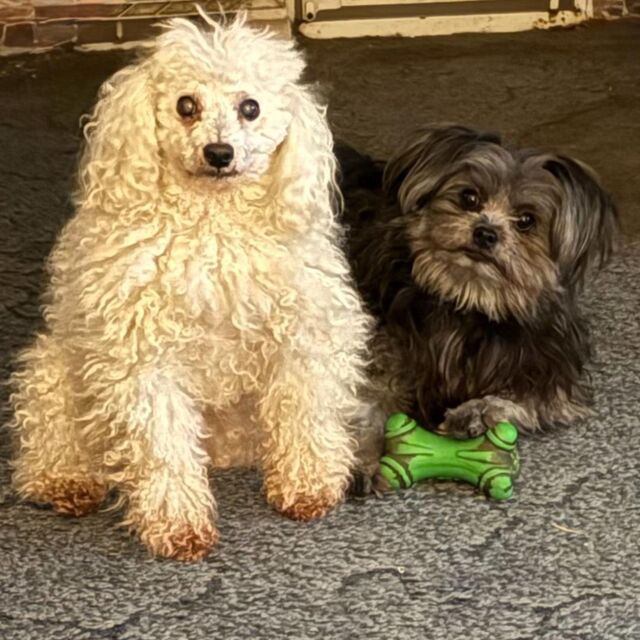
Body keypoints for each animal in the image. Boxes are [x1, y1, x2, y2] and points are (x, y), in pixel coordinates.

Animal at [10, 13, 371, 561]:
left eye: (250, 107)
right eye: (186, 105)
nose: (219, 152)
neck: (211, 223)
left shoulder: (301, 333)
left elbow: (304, 411)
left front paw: (306, 485)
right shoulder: (142, 358)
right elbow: (162, 446)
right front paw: (176, 523)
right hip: (55, 369)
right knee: (50, 436)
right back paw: (67, 481)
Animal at [339, 124, 617, 483]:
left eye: (526, 220)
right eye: (469, 197)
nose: (486, 233)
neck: (471, 302)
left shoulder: (550, 372)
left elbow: (525, 401)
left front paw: (477, 413)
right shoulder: (386, 347)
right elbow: (368, 401)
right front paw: (363, 456)